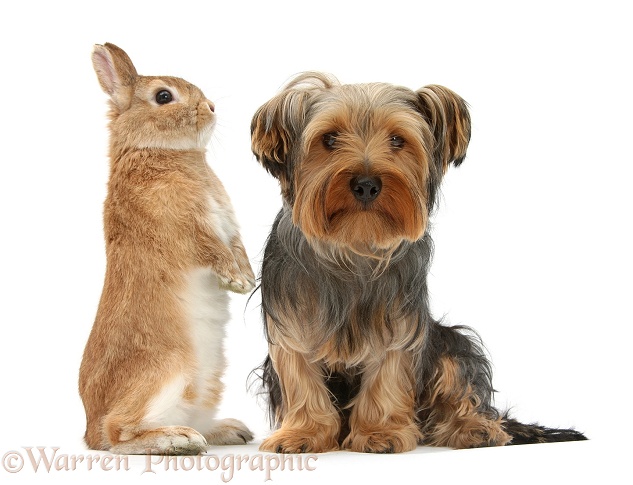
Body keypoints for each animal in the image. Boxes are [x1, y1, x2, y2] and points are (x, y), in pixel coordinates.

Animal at [78, 43, 256, 456]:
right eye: (163, 96)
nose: (210, 107)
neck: (158, 150)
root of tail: (88, 431)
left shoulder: (228, 224)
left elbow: (237, 246)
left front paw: (249, 277)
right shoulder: (188, 227)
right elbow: (213, 250)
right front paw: (238, 283)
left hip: (206, 385)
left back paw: (230, 430)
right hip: (167, 372)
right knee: (118, 433)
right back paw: (178, 439)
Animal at [249, 72, 584, 454]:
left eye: (397, 139)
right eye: (329, 139)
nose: (366, 184)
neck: (355, 244)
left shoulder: (400, 322)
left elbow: (389, 371)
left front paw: (379, 432)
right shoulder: (292, 321)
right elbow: (301, 375)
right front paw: (303, 434)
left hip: (449, 342)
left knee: (458, 380)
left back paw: (476, 429)